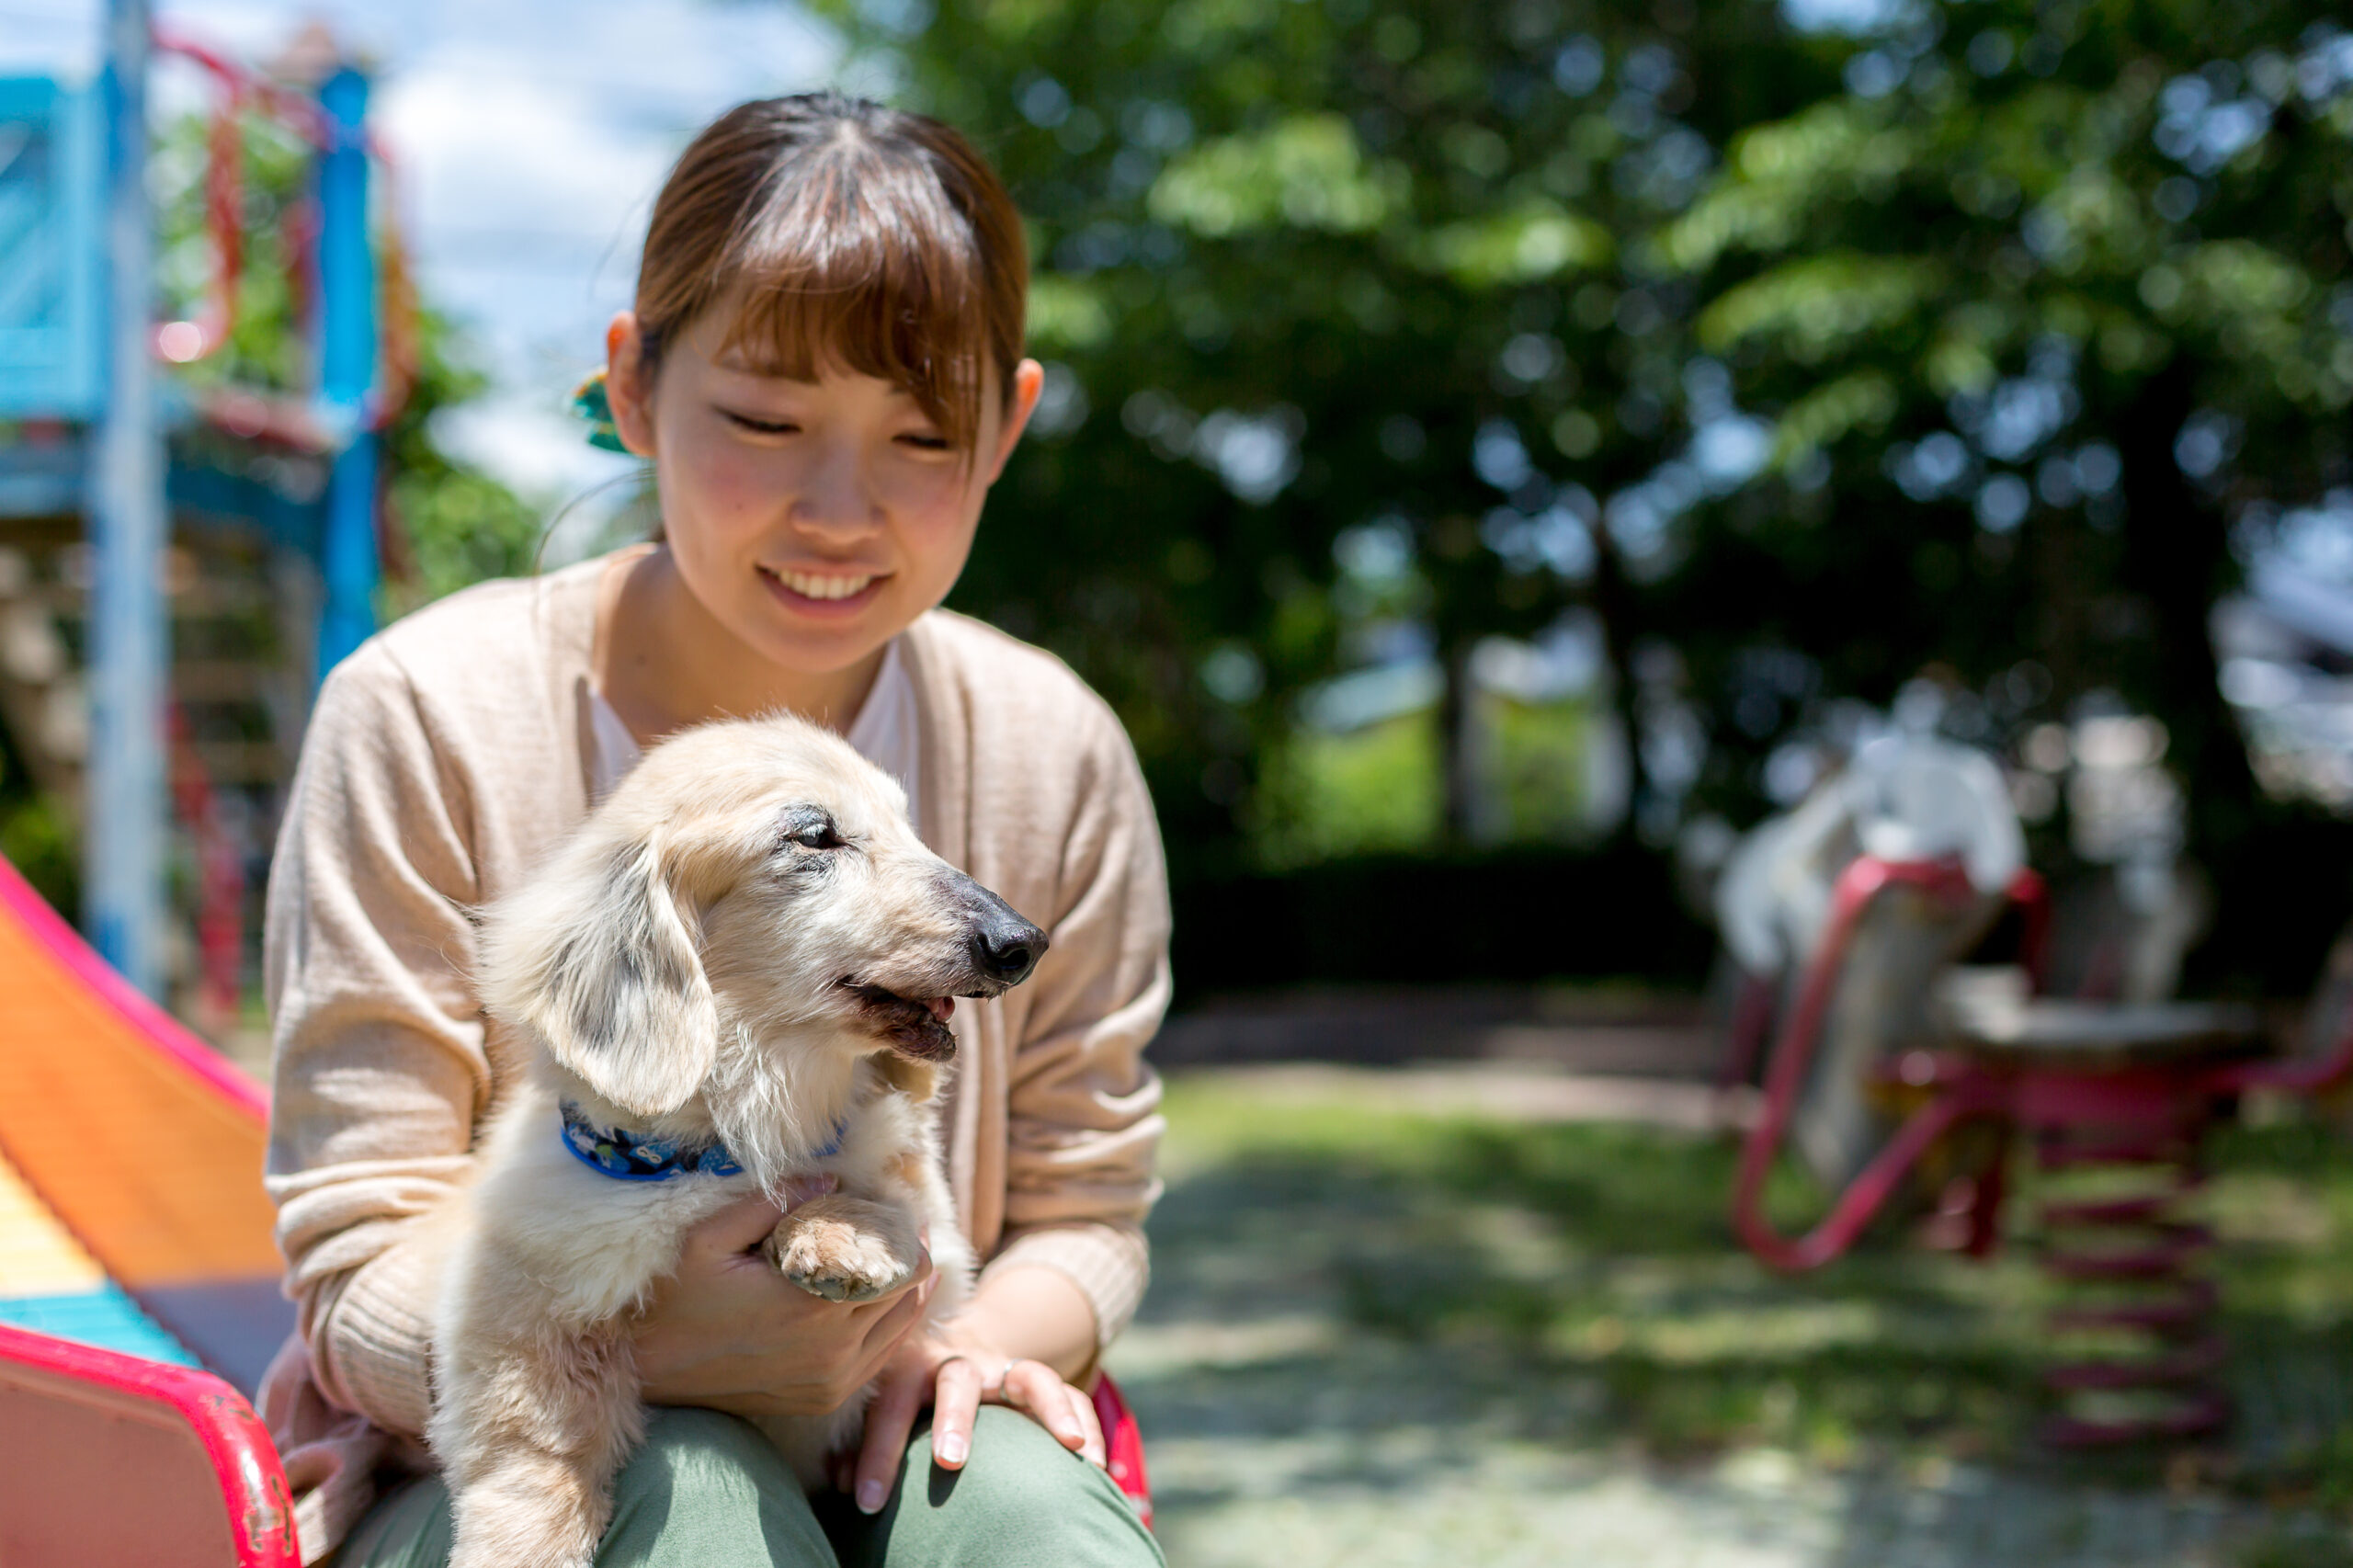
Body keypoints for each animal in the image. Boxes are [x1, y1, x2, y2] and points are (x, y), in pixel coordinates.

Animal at [426, 710, 1049, 1562]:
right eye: (816, 836)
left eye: (908, 825)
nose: (1023, 942)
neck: (723, 1144)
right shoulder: (515, 1307)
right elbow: (533, 1455)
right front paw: (521, 1545)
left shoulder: (934, 1246)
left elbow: (881, 1191)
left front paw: (835, 1235)